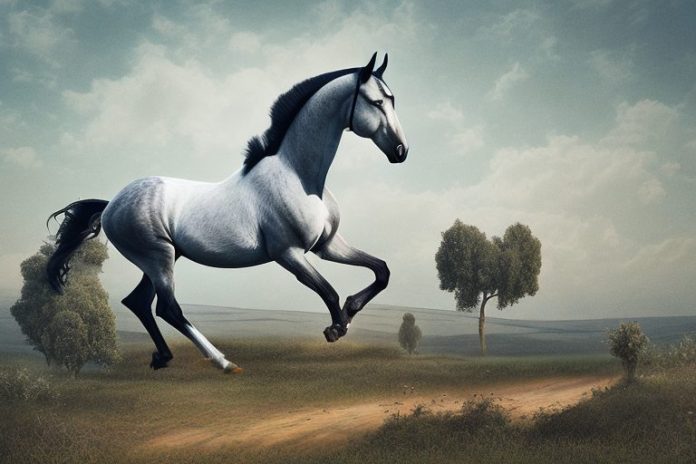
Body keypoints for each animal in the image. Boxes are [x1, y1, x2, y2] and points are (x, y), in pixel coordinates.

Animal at [46, 53, 409, 373]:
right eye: (376, 102)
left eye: (393, 100)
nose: (401, 151)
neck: (299, 177)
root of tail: (111, 205)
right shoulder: (288, 253)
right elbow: (329, 290)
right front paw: (336, 328)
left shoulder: (327, 245)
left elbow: (382, 270)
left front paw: (350, 310)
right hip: (157, 259)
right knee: (167, 308)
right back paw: (224, 363)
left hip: (162, 258)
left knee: (138, 302)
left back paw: (163, 358)